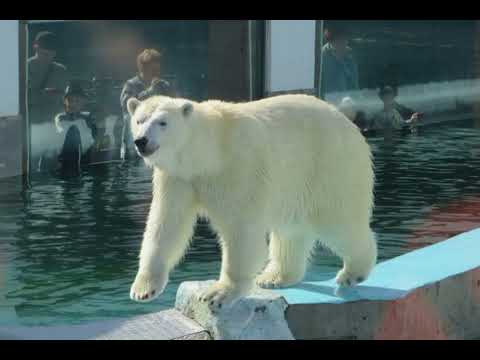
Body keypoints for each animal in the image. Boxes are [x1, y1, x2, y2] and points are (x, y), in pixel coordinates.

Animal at [129, 94, 376, 310]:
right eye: (139, 120)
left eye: (162, 122)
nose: (141, 141)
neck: (209, 153)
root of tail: (349, 123)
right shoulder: (178, 178)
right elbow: (166, 225)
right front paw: (143, 289)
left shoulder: (238, 168)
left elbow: (241, 230)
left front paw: (219, 293)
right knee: (291, 230)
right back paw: (275, 277)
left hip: (329, 165)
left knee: (339, 221)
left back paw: (352, 273)